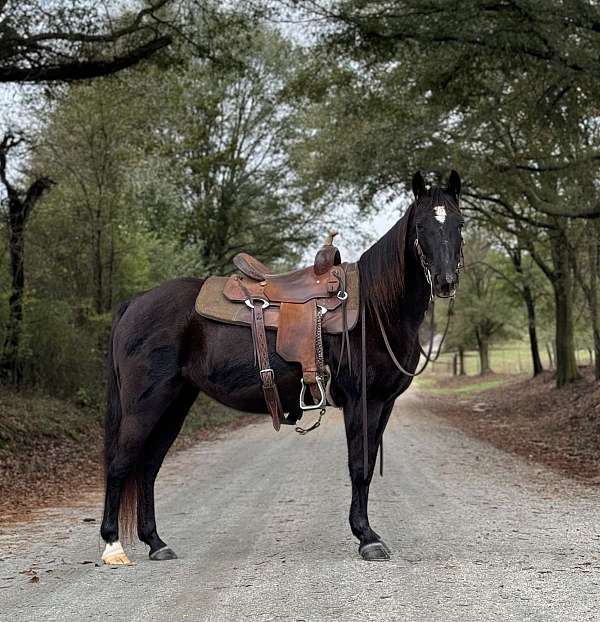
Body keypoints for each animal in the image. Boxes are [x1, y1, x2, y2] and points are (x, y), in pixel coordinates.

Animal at [99, 169, 464, 564]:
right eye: (421, 226)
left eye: (459, 223)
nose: (446, 281)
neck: (376, 307)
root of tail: (135, 302)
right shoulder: (362, 401)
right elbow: (359, 466)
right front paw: (366, 537)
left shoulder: (385, 403)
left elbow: (365, 467)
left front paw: (366, 533)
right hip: (145, 404)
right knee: (121, 463)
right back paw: (113, 546)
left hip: (175, 403)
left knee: (148, 467)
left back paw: (156, 542)